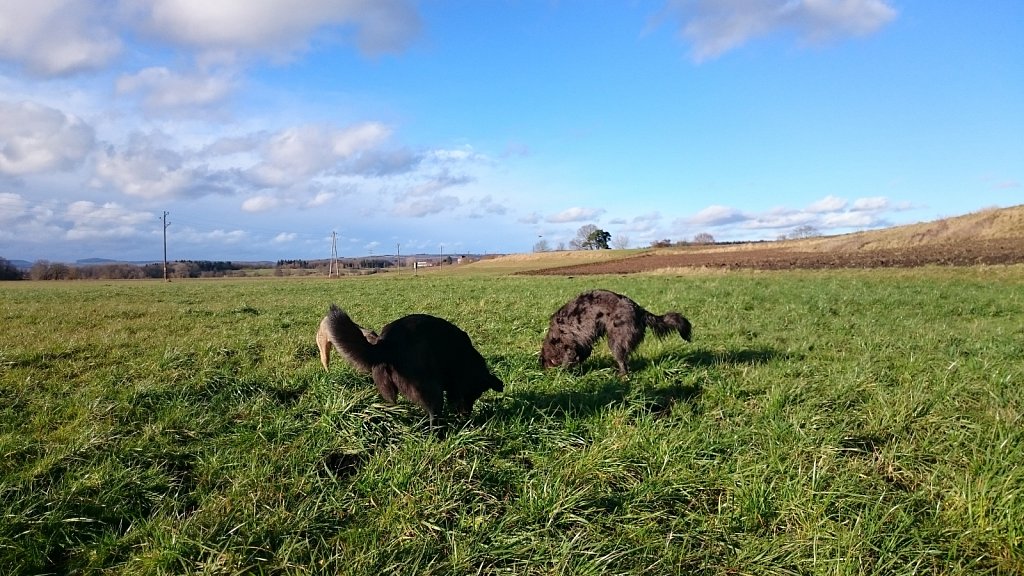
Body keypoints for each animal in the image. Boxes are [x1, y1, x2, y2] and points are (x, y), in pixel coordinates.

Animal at [315, 305, 499, 422]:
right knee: (434, 416)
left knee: (392, 404)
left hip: (388, 390)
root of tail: (386, 345)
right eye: (475, 394)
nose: (466, 415)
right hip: (432, 392)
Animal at [540, 286, 692, 377]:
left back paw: (621, 376)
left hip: (616, 341)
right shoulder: (582, 346)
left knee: (623, 363)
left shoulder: (569, 346)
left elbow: (568, 360)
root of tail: (639, 309)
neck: (554, 339)